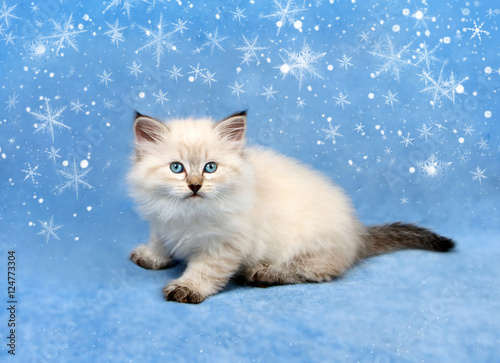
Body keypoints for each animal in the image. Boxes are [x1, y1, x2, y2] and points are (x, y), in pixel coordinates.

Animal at [127, 111, 456, 304]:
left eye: (210, 168)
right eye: (177, 168)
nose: (195, 186)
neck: (187, 215)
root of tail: (357, 231)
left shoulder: (223, 246)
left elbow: (205, 271)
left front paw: (188, 287)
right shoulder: (161, 221)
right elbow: (160, 241)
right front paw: (152, 257)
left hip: (309, 248)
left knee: (316, 271)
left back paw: (264, 274)